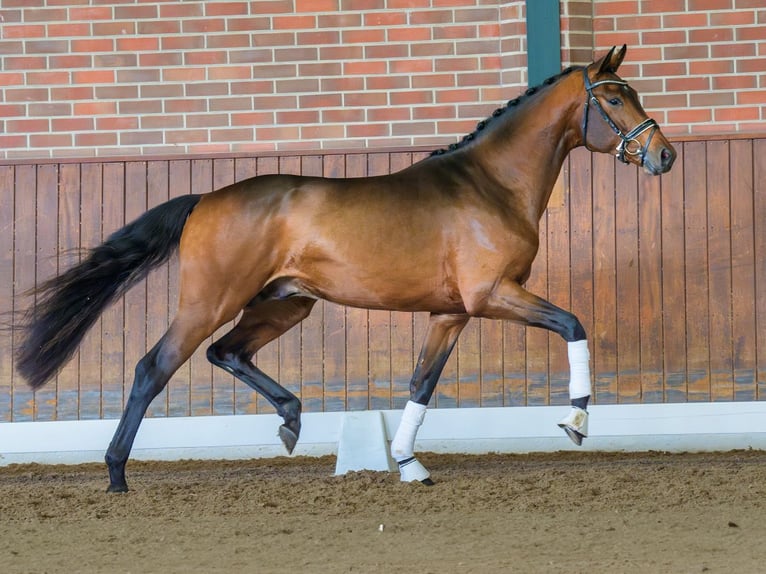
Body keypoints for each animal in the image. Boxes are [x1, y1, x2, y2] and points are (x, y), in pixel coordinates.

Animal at [16, 47, 680, 492]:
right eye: (614, 97)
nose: (664, 155)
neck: (489, 185)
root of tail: (206, 199)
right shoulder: (493, 294)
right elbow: (573, 324)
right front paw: (576, 420)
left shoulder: (451, 313)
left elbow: (420, 384)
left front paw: (409, 464)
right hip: (211, 301)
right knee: (154, 367)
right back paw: (116, 474)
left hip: (286, 303)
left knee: (226, 353)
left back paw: (290, 421)